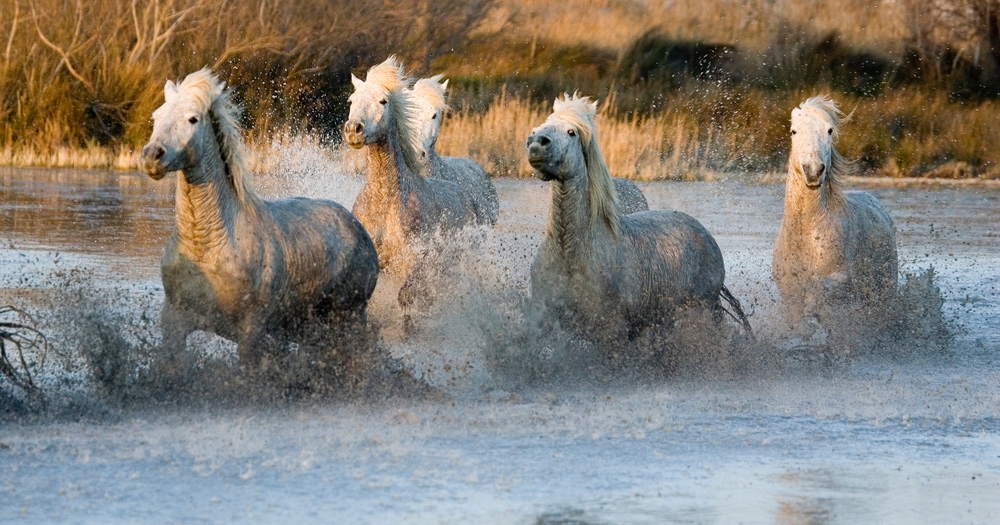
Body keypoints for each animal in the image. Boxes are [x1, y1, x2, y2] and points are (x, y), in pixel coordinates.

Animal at [141, 68, 379, 381]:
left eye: (193, 119)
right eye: (156, 116)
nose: (152, 156)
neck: (207, 245)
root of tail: (359, 229)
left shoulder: (251, 331)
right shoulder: (174, 321)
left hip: (348, 317)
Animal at [343, 56, 486, 317]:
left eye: (383, 101)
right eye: (351, 100)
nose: (354, 130)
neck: (385, 200)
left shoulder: (415, 265)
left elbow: (407, 299)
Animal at [526, 93, 750, 349]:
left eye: (571, 132)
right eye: (539, 126)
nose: (536, 142)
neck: (570, 252)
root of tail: (704, 233)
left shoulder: (611, 331)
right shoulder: (545, 321)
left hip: (699, 310)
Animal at [773, 95, 897, 332]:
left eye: (829, 130)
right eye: (794, 131)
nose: (813, 171)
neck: (807, 236)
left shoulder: (840, 279)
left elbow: (818, 291)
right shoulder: (789, 296)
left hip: (883, 289)